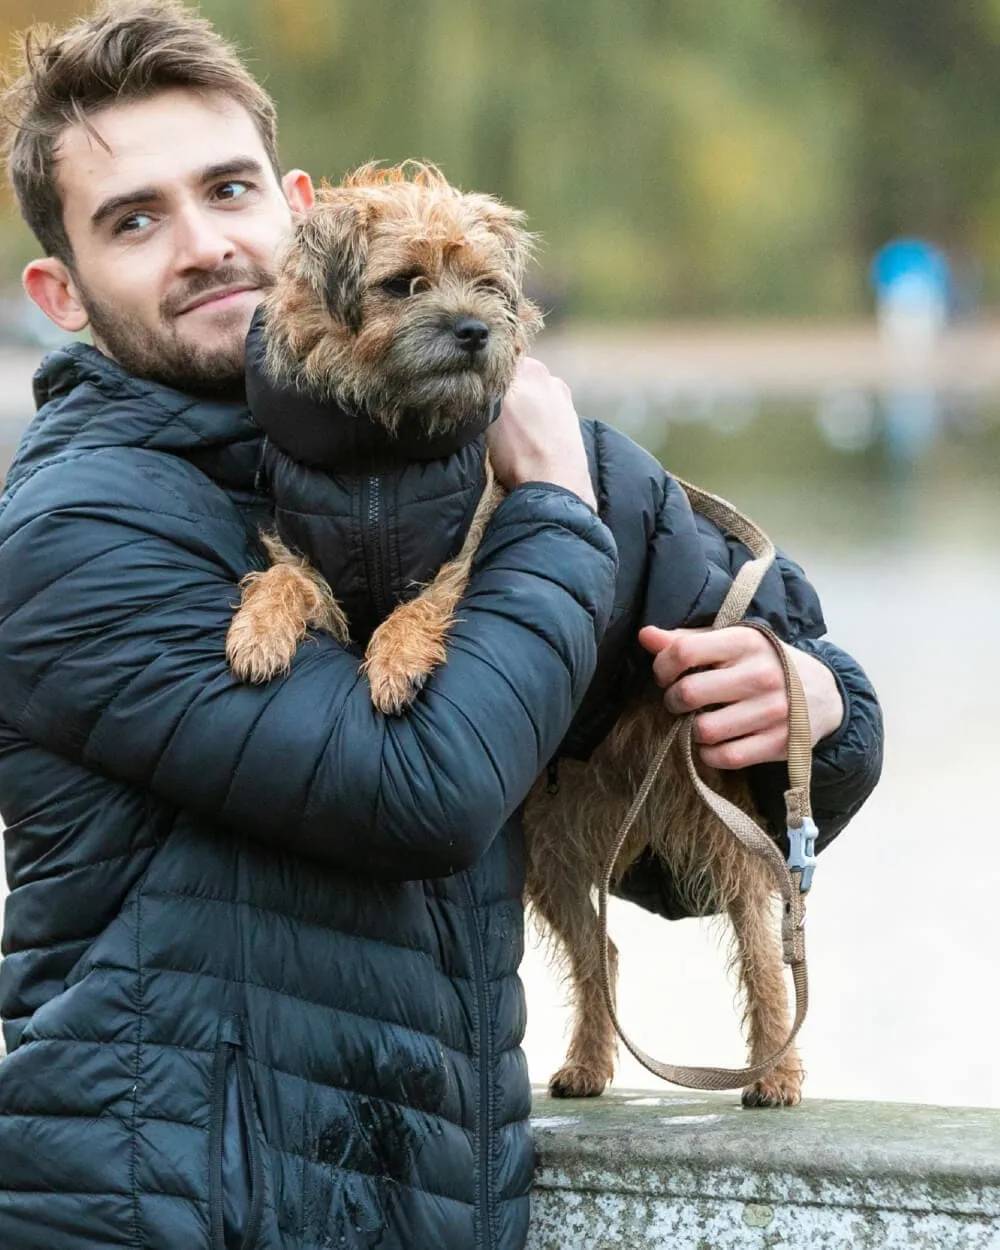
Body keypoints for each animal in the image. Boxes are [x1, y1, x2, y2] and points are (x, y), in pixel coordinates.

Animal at [228, 163, 805, 1105]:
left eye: (487, 286)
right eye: (406, 283)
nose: (472, 330)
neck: (380, 452)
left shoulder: (484, 524)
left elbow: (430, 598)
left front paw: (394, 659)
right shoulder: (296, 535)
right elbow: (286, 577)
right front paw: (259, 630)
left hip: (707, 800)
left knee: (763, 938)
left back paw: (777, 1070)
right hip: (555, 852)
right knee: (603, 952)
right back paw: (587, 1064)